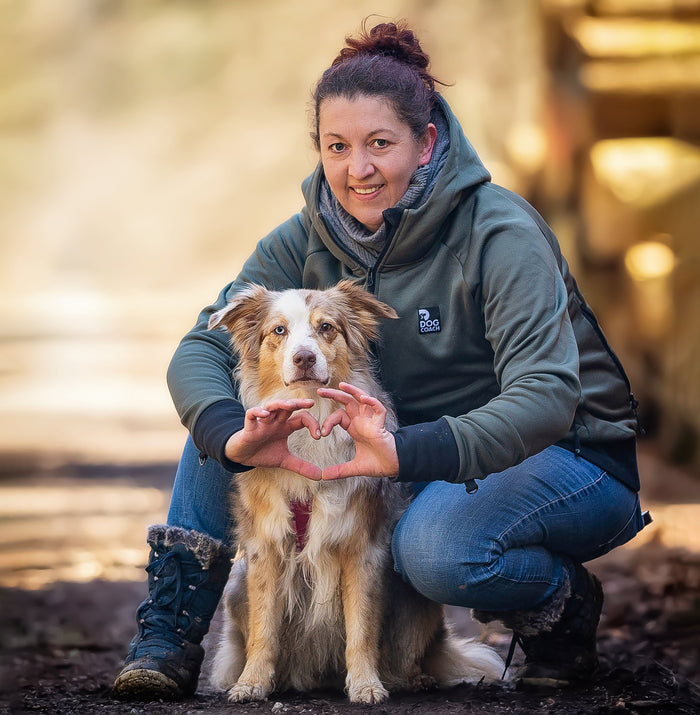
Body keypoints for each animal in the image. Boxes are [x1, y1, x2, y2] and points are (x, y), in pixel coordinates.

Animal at [205, 282, 506, 704]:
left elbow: (361, 629)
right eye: (279, 330)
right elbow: (264, 629)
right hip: (236, 585)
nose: (303, 357)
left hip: (414, 600)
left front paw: (366, 685)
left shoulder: (361, 547)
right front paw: (251, 683)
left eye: (326, 327)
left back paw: (414, 678)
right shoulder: (266, 547)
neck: (313, 418)